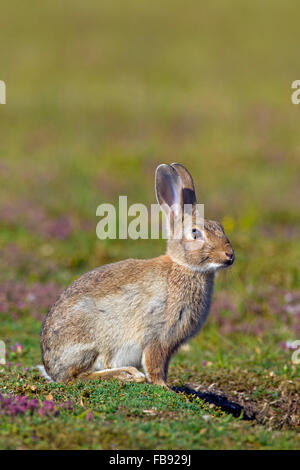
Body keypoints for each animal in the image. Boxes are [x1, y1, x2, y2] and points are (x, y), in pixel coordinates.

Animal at [39, 163, 234, 388]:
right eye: (195, 233)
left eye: (220, 227)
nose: (229, 255)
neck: (184, 267)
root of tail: (51, 368)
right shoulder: (157, 334)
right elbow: (155, 363)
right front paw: (164, 387)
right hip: (89, 341)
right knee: (77, 376)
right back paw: (128, 374)